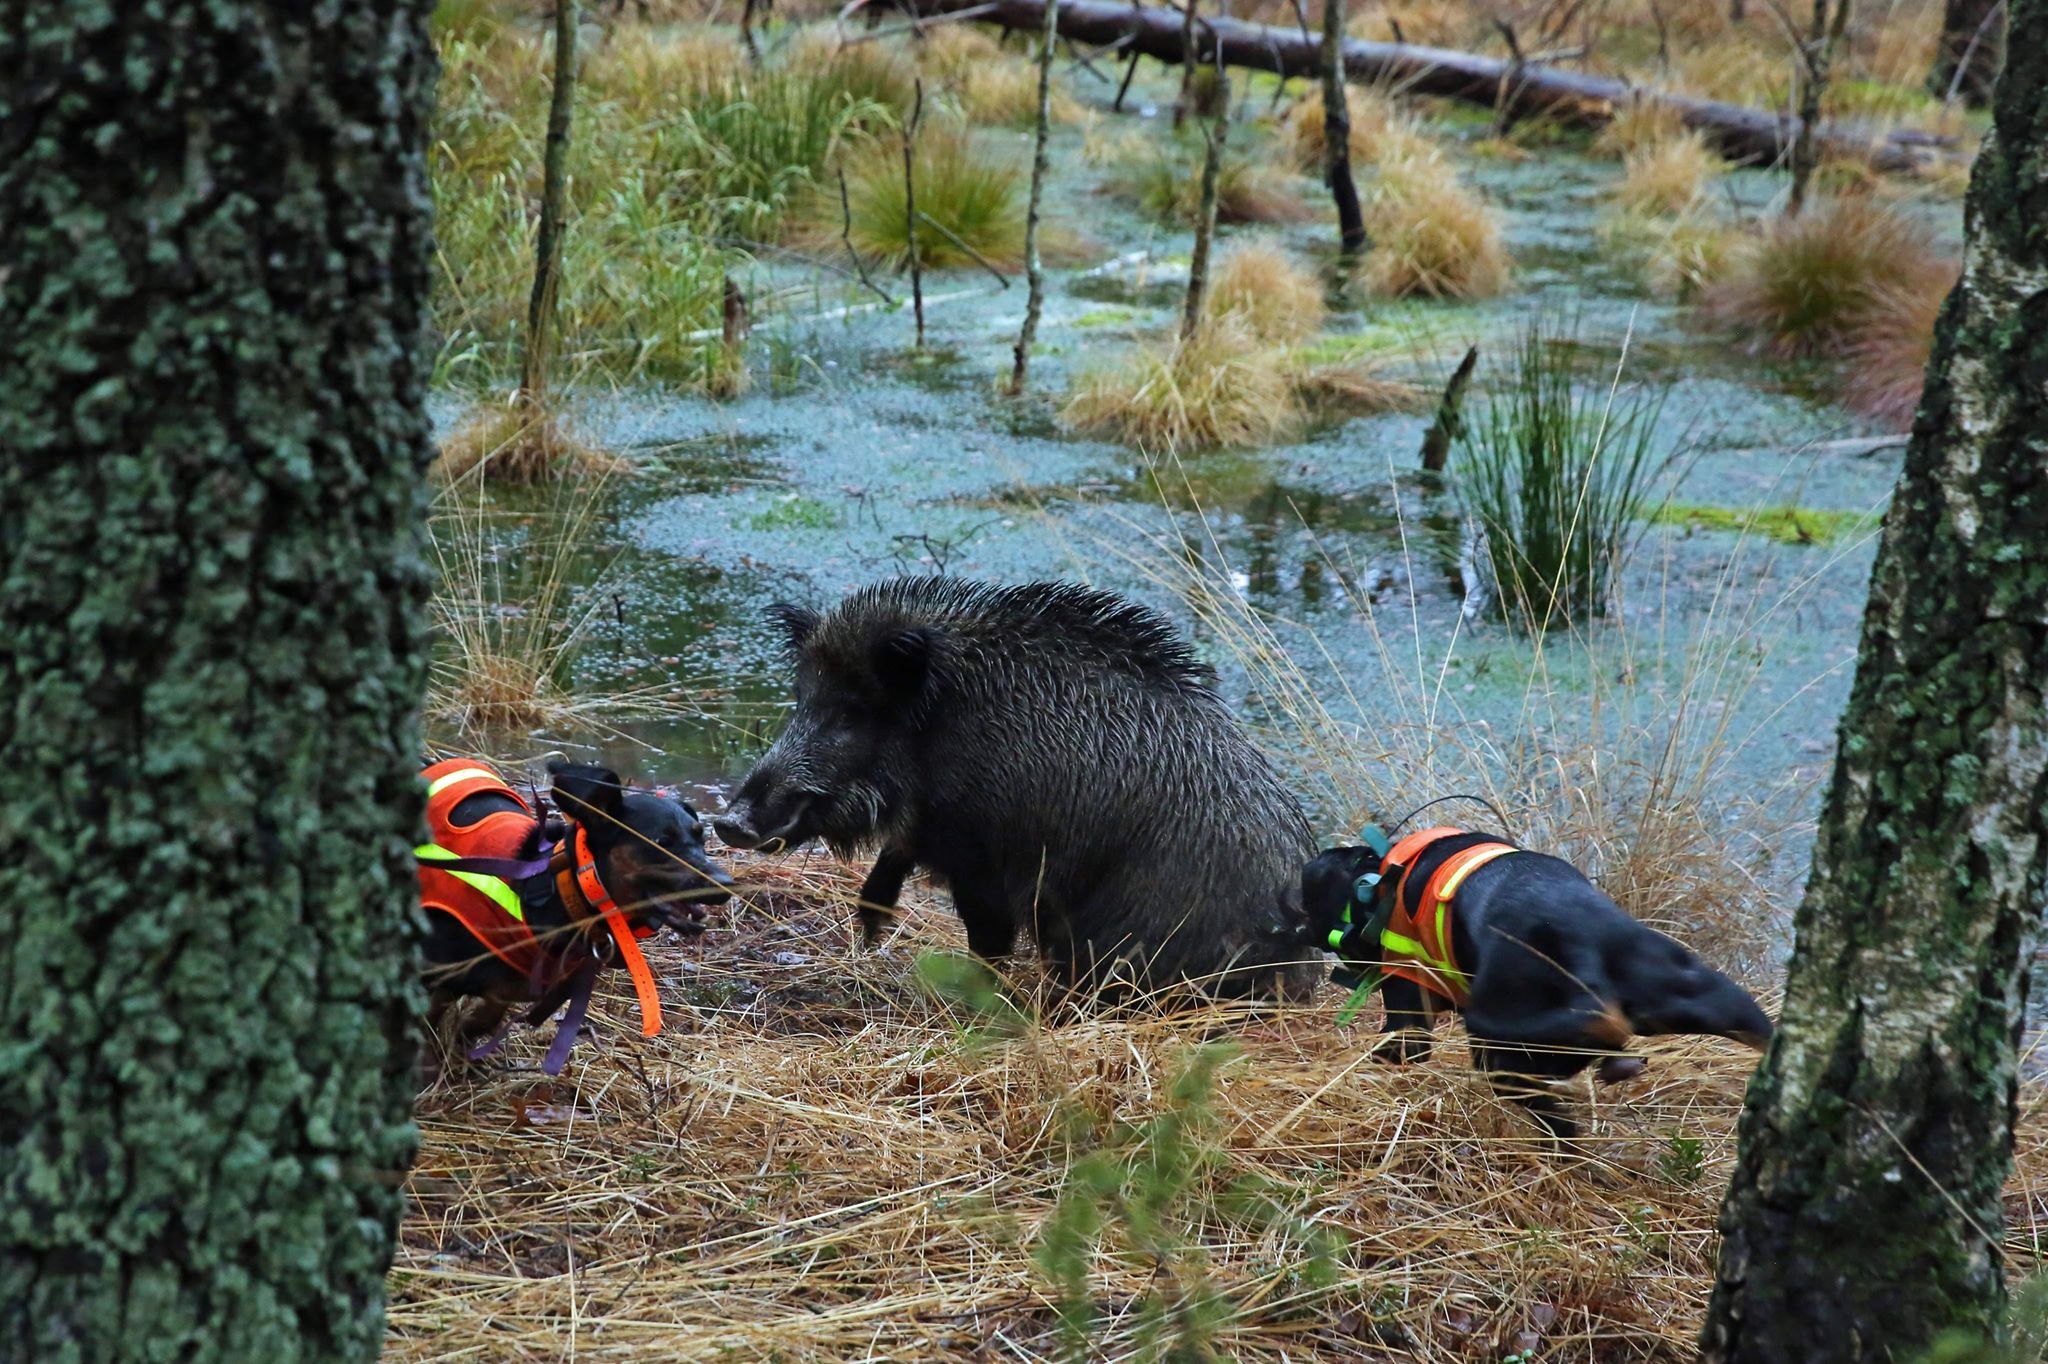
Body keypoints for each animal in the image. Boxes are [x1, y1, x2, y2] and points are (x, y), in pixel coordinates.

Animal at [1302, 827, 1769, 1138]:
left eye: (1308, 908)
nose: (1301, 931)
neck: (1379, 879)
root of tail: (1581, 936)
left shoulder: (1409, 1012)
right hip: (1714, 997)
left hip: (1499, 1049)